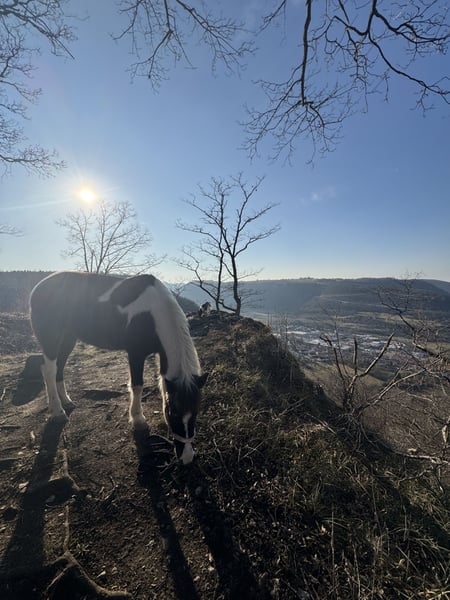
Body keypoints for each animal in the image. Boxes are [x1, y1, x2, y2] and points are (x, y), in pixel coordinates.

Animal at [30, 271, 208, 464]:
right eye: (173, 413)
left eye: (196, 412)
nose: (187, 457)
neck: (153, 312)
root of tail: (38, 287)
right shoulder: (135, 353)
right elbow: (137, 385)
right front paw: (138, 419)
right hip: (51, 339)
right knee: (49, 370)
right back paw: (57, 411)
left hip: (69, 338)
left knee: (59, 368)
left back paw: (67, 401)